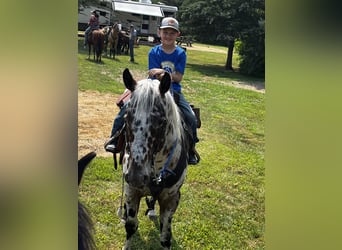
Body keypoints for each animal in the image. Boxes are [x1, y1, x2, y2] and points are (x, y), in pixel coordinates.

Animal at [119, 69, 190, 250]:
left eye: (162, 121)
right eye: (126, 117)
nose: (136, 177)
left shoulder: (172, 198)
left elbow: (165, 236)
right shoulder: (131, 191)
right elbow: (131, 226)